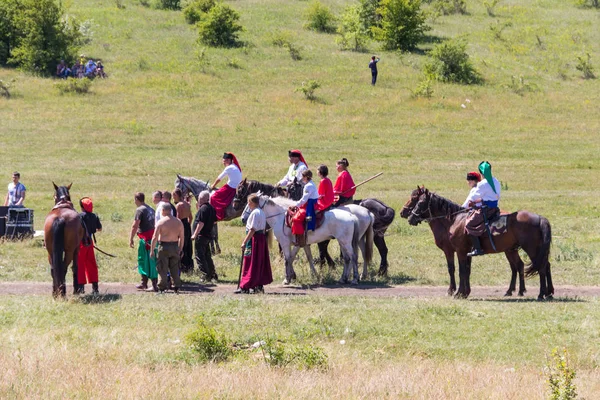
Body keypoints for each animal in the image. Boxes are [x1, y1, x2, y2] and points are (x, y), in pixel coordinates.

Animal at [404, 189, 552, 298]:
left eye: (420, 201)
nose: (409, 216)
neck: (454, 220)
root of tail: (540, 218)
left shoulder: (456, 251)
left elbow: (458, 270)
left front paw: (457, 292)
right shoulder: (467, 252)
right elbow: (467, 271)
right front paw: (465, 292)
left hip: (531, 249)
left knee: (540, 267)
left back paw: (541, 294)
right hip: (517, 250)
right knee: (535, 265)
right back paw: (543, 292)